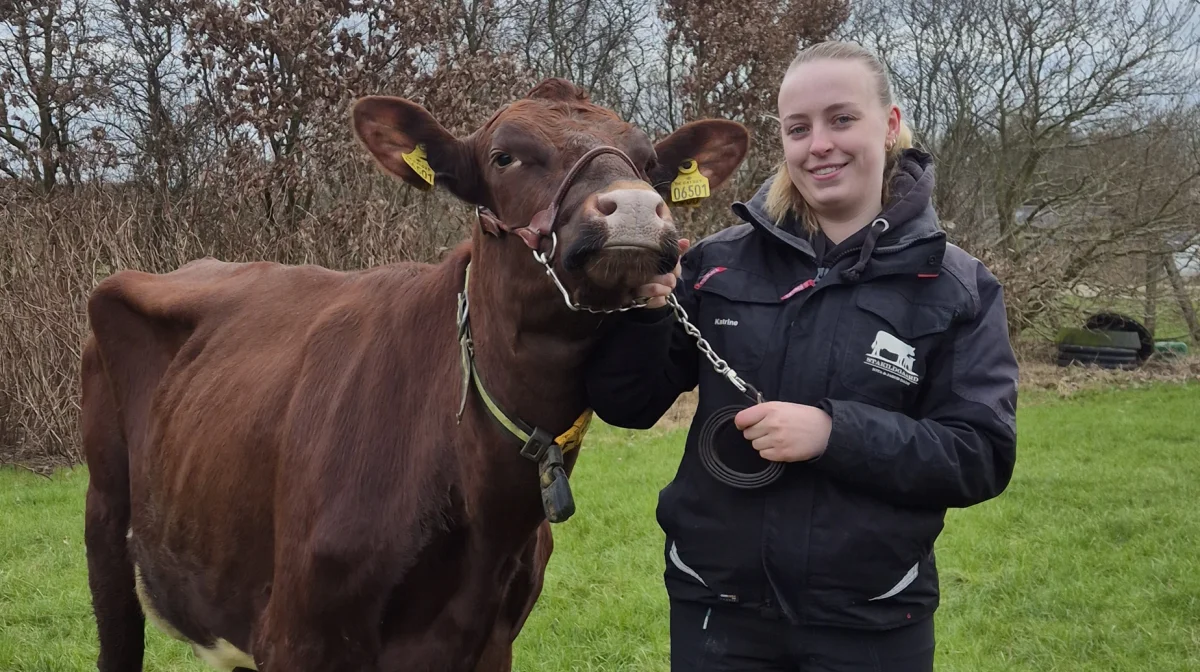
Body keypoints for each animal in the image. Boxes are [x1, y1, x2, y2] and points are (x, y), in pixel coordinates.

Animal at [79, 76, 744, 667]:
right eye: (505, 156)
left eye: (651, 165)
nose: (633, 208)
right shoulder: (297, 636)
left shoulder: (493, 641)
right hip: (105, 518)